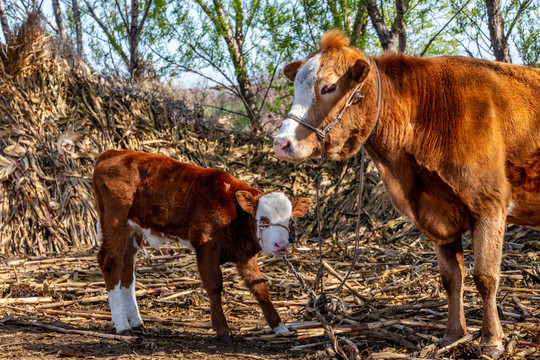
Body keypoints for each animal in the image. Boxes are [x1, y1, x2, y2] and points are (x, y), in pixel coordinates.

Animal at [94, 150, 312, 340]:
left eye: (289, 220)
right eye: (264, 219)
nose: (281, 245)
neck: (233, 211)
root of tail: (113, 153)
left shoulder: (245, 255)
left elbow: (259, 288)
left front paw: (279, 327)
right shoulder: (206, 245)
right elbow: (214, 284)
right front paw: (222, 330)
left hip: (133, 231)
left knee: (126, 269)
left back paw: (136, 322)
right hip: (115, 221)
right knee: (110, 261)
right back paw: (122, 326)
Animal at [274, 29, 540, 356]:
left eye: (329, 86)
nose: (280, 143)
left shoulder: (490, 204)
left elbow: (485, 277)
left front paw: (491, 341)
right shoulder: (438, 216)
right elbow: (451, 278)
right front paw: (453, 335)